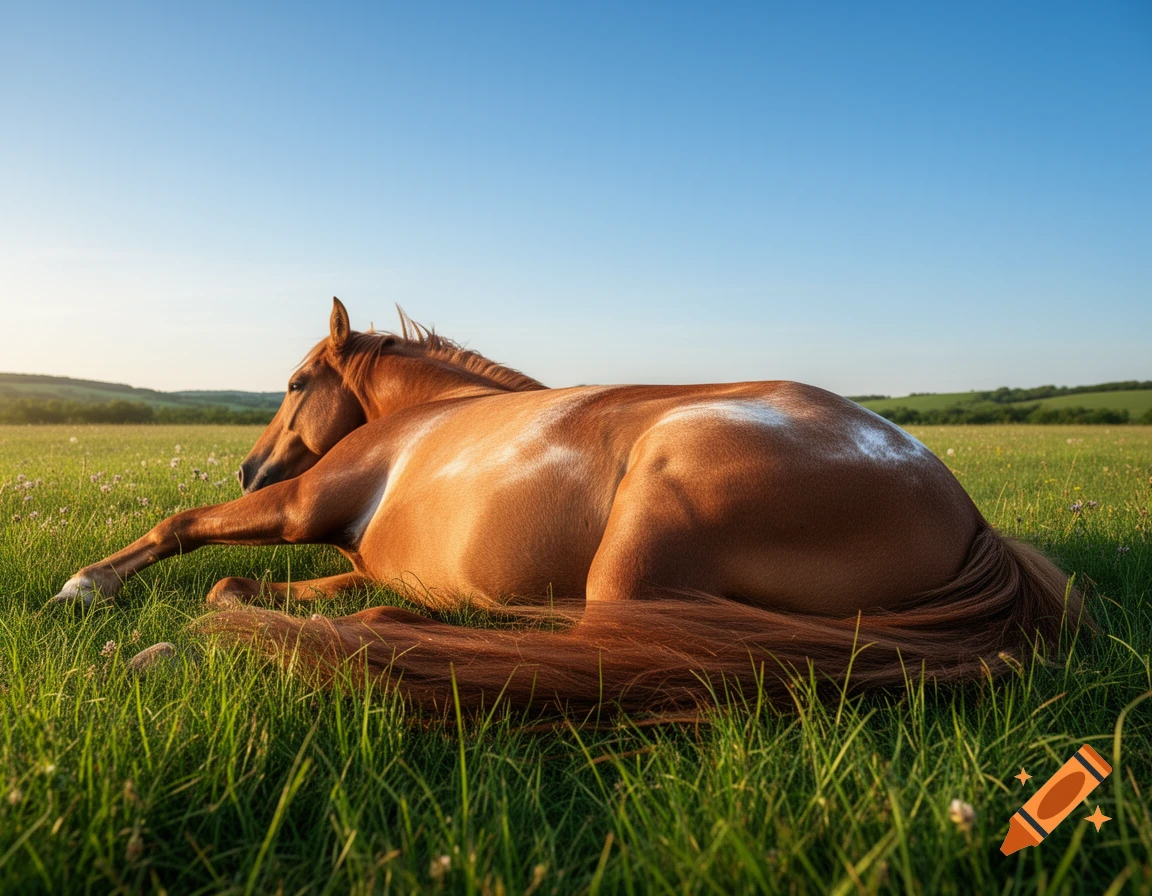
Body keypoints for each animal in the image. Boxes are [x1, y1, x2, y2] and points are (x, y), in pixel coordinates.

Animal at [52, 299, 1083, 712]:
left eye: (299, 381)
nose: (247, 471)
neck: (429, 415)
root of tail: (969, 518)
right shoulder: (349, 555)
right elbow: (269, 579)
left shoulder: (304, 503)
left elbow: (179, 529)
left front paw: (89, 586)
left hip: (646, 528)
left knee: (594, 644)